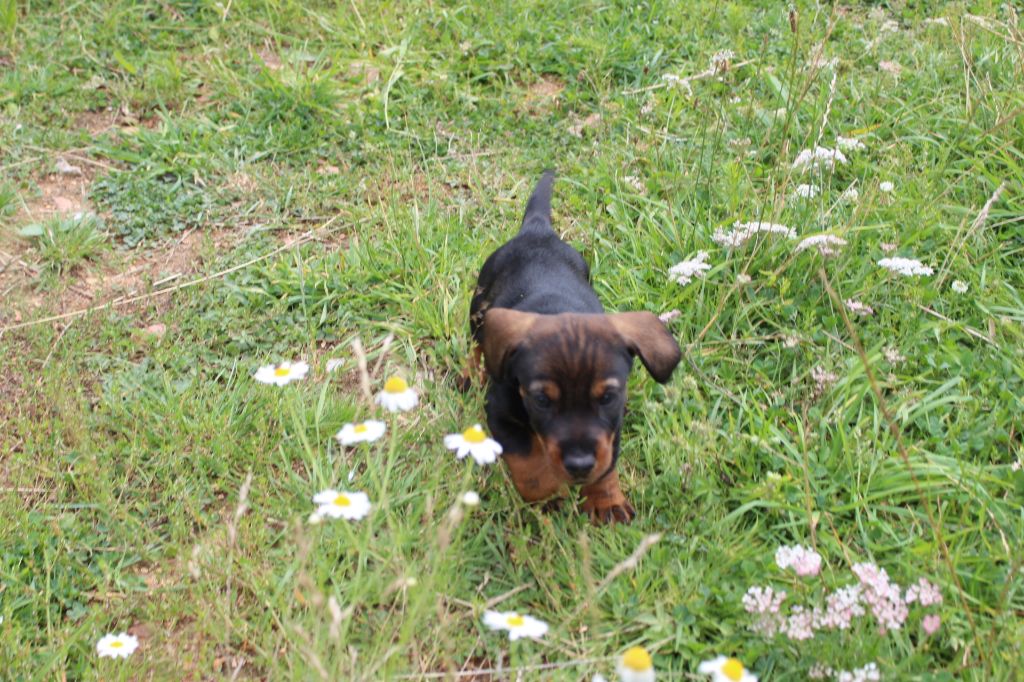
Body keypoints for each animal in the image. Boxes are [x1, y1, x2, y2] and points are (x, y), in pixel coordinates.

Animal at [468, 169, 679, 520]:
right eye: (541, 400)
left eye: (607, 397)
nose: (579, 465)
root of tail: (538, 229)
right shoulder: (500, 415)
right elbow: (528, 464)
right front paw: (549, 495)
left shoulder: (611, 429)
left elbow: (606, 465)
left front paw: (607, 501)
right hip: (478, 307)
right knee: (477, 346)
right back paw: (471, 374)